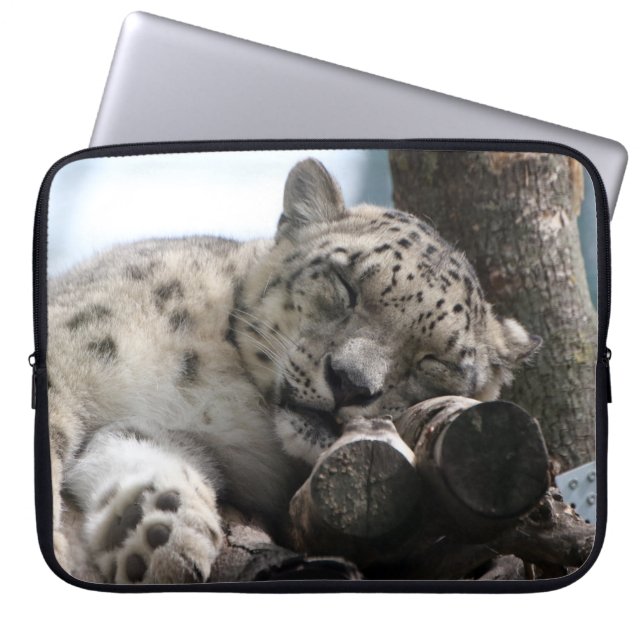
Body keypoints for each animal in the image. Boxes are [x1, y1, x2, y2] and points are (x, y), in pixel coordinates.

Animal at [47, 157, 540, 584]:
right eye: (345, 284)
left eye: (434, 360)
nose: (350, 382)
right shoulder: (67, 350)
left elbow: (143, 450)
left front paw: (159, 531)